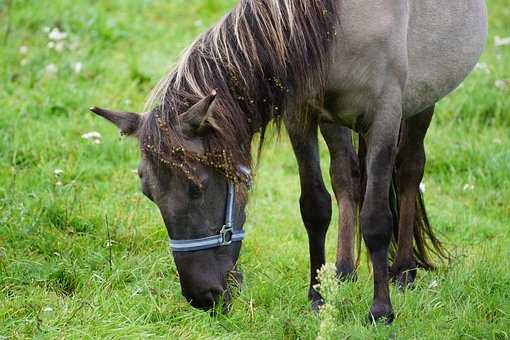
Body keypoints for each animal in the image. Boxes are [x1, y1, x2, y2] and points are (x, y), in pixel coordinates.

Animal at [89, 0, 488, 324]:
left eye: (196, 188)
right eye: (149, 194)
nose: (201, 297)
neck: (335, 23)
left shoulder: (385, 118)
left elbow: (377, 219)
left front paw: (381, 311)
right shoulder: (303, 114)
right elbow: (315, 207)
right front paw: (317, 298)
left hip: (421, 104)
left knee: (408, 173)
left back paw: (404, 271)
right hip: (335, 122)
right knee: (346, 178)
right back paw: (343, 270)